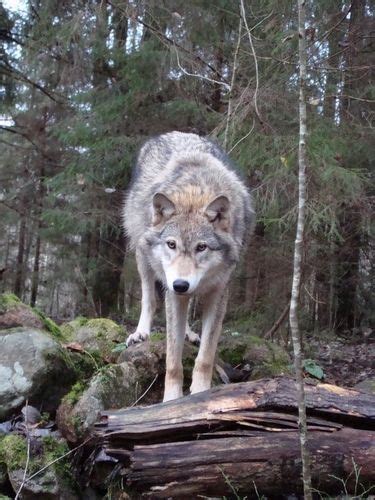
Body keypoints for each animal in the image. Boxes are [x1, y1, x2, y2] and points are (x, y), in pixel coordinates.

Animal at [123, 131, 256, 400]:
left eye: (201, 247)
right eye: (171, 244)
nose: (180, 284)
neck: (196, 191)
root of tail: (175, 133)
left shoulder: (219, 293)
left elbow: (206, 356)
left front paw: (201, 394)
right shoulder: (172, 293)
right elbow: (173, 361)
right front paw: (172, 400)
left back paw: (188, 332)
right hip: (142, 254)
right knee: (149, 298)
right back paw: (140, 333)